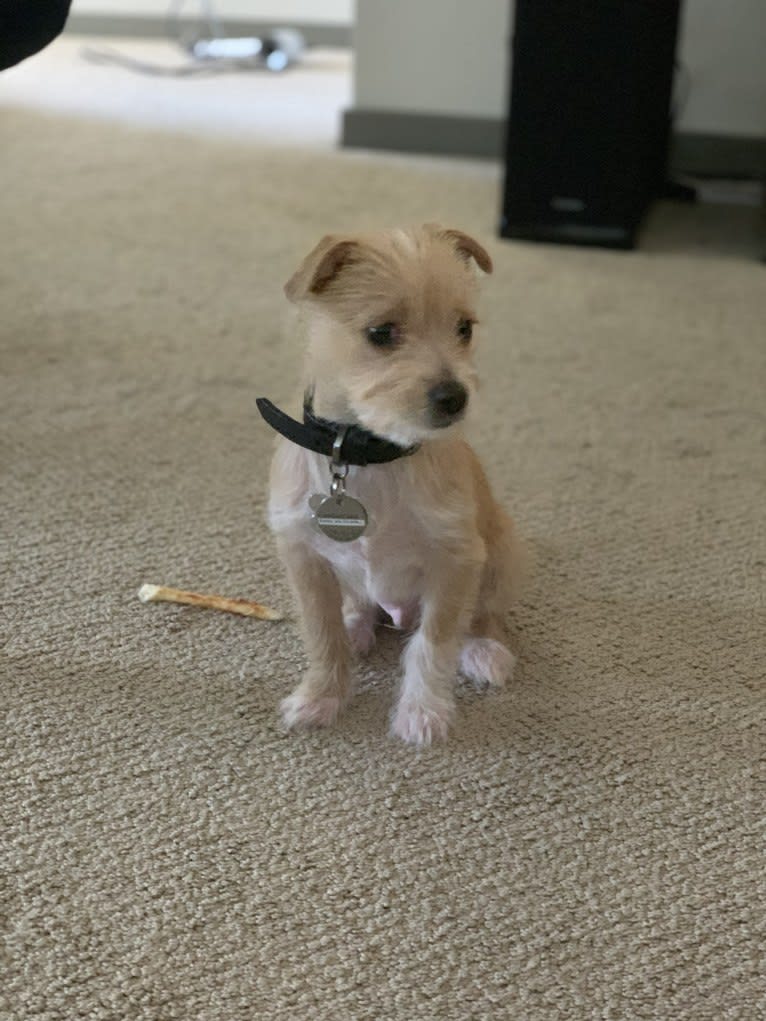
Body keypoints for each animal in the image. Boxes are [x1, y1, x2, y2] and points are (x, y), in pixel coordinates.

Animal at [261, 227, 527, 747]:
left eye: (463, 328)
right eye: (382, 333)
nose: (455, 398)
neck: (369, 454)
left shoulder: (455, 559)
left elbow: (433, 643)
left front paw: (423, 712)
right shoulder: (304, 557)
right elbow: (321, 634)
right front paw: (321, 697)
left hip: (501, 554)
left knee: (484, 614)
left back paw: (485, 649)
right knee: (360, 606)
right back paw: (357, 626)